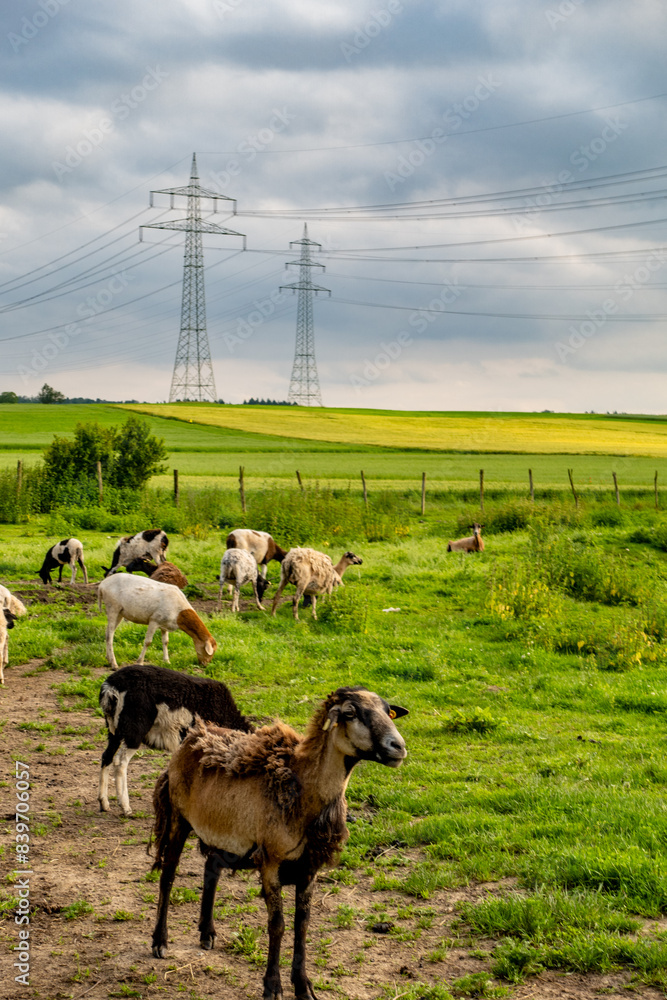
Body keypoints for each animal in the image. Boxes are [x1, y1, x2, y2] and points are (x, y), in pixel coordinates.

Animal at [98, 663, 252, 817]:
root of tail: (111, 688)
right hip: (134, 729)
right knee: (120, 762)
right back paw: (125, 807)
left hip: (114, 729)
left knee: (107, 756)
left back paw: (104, 803)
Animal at [149, 685, 408, 999]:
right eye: (350, 712)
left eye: (388, 711)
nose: (398, 747)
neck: (303, 787)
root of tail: (195, 734)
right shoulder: (271, 862)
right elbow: (278, 925)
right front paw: (272, 986)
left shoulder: (309, 868)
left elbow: (302, 924)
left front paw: (303, 985)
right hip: (178, 818)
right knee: (168, 876)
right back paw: (160, 941)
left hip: (225, 834)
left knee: (211, 870)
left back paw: (207, 933)